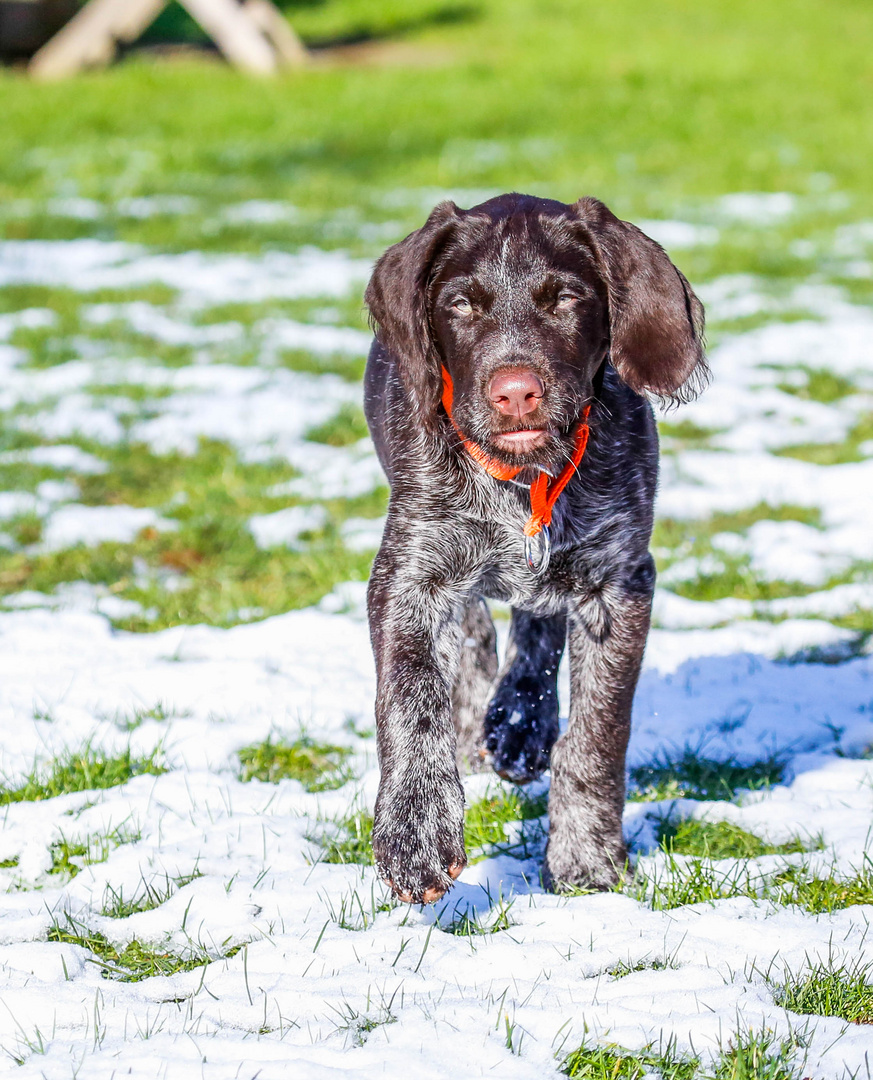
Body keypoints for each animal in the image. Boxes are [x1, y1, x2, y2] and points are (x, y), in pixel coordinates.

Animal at [360, 192, 708, 902]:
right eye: (461, 304)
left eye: (567, 299)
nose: (516, 393)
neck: (526, 481)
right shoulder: (408, 573)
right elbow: (411, 695)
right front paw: (416, 829)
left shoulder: (620, 582)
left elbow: (599, 732)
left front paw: (586, 856)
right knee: (473, 629)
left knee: (537, 622)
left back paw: (519, 721)